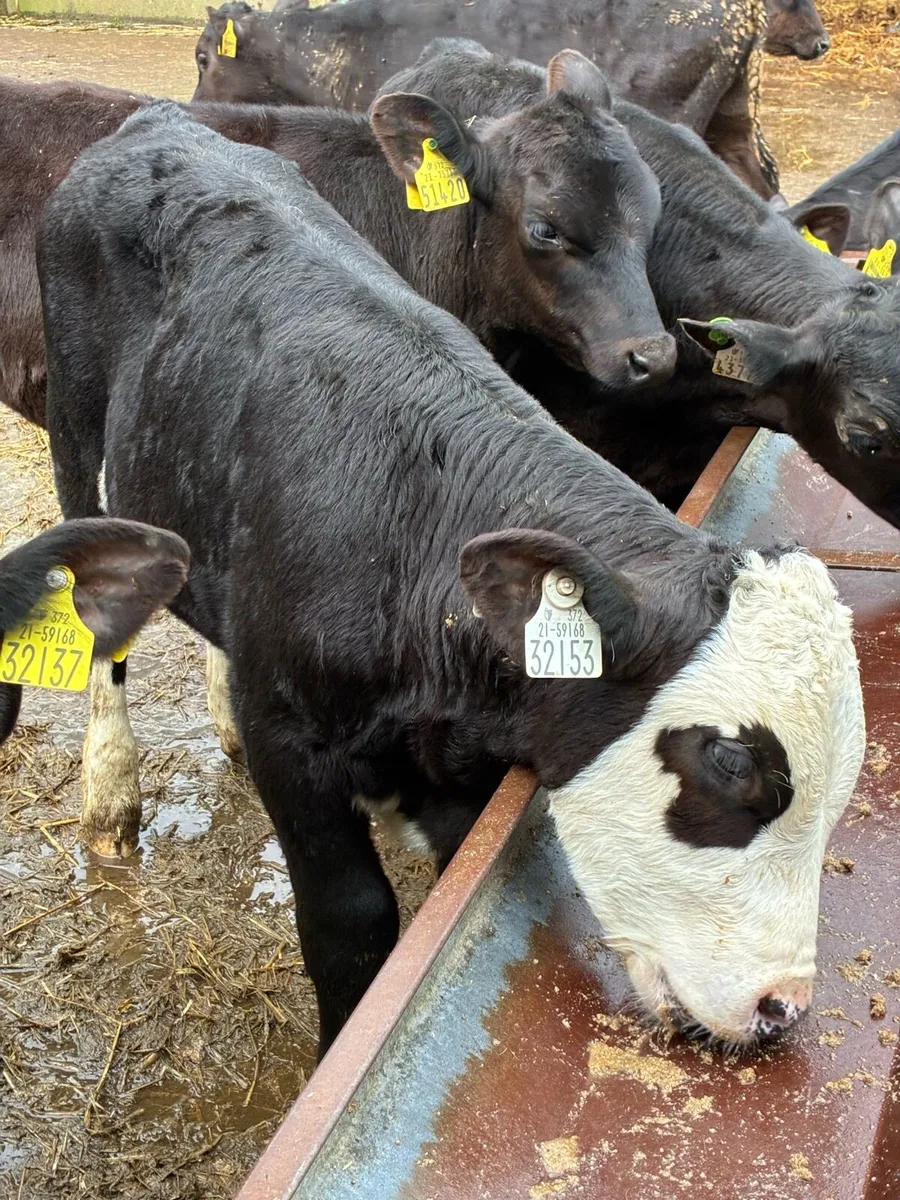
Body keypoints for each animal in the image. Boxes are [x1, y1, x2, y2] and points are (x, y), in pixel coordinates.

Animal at [38, 103, 865, 1059]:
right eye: (730, 761)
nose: (781, 1007)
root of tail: (161, 119)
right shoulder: (292, 734)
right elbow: (353, 924)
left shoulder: (462, 774)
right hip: (75, 430)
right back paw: (110, 795)